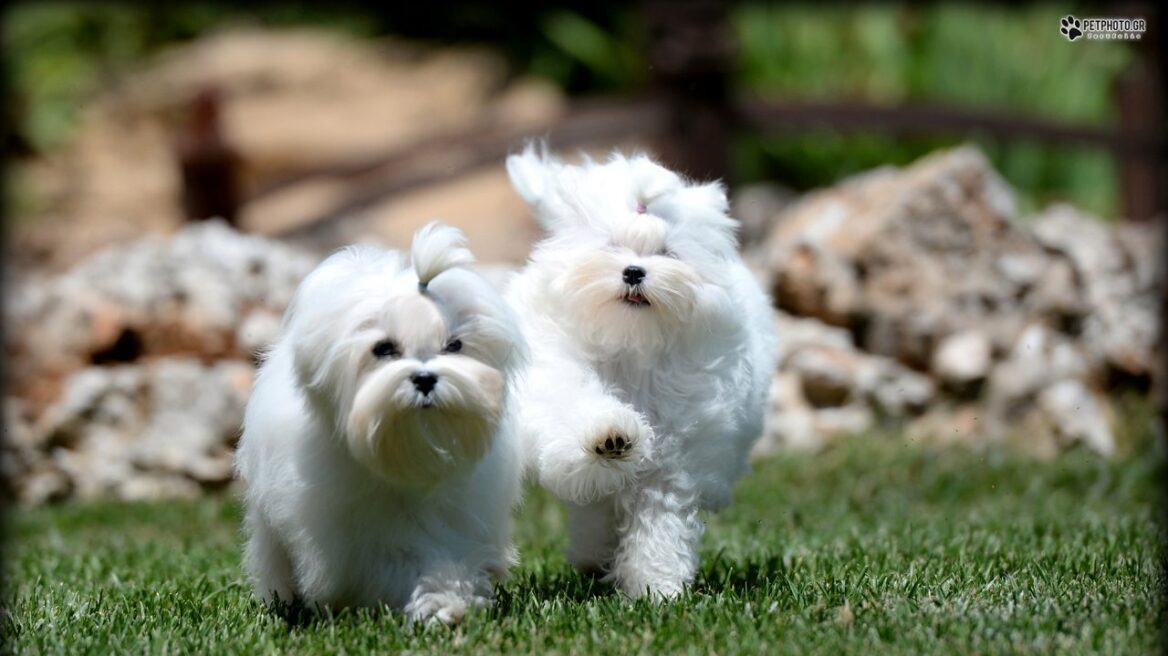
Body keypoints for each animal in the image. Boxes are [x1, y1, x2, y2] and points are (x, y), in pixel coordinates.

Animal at [234, 221, 523, 620]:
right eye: (384, 349)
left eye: (454, 346)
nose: (425, 379)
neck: (411, 454)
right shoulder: (359, 532)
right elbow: (399, 560)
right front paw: (438, 603)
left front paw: (447, 601)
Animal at [506, 144, 780, 597]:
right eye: (611, 246)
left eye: (667, 253)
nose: (634, 272)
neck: (631, 342)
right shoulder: (558, 378)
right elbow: (578, 413)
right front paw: (611, 435)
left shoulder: (674, 458)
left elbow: (660, 521)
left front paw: (657, 587)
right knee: (594, 506)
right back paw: (593, 554)